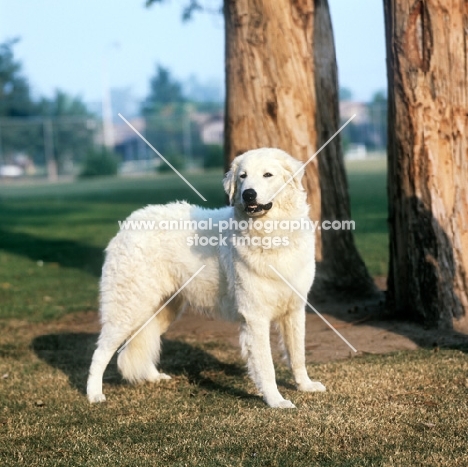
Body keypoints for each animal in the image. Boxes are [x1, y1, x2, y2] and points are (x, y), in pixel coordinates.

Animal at [88, 148, 326, 408]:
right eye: (243, 176)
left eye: (267, 175)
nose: (248, 194)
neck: (271, 234)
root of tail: (128, 224)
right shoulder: (255, 317)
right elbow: (266, 366)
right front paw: (275, 401)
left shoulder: (294, 309)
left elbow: (297, 355)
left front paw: (305, 386)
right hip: (128, 309)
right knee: (100, 353)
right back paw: (94, 394)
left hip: (162, 309)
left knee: (138, 341)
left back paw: (154, 377)